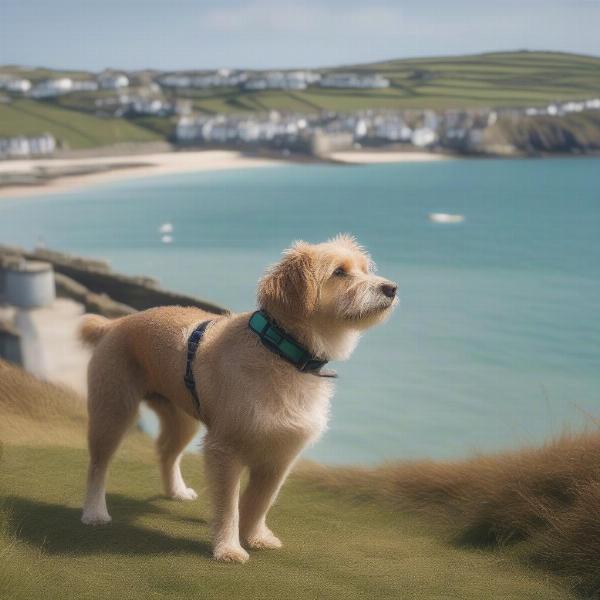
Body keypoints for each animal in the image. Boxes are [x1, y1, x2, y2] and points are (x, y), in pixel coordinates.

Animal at [79, 234, 398, 564]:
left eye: (365, 269)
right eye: (339, 272)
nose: (391, 288)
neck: (279, 349)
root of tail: (115, 323)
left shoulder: (280, 454)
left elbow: (259, 501)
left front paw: (256, 537)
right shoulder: (225, 450)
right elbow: (229, 506)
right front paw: (229, 548)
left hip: (182, 420)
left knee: (167, 452)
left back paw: (175, 491)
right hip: (113, 411)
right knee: (97, 465)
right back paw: (94, 512)